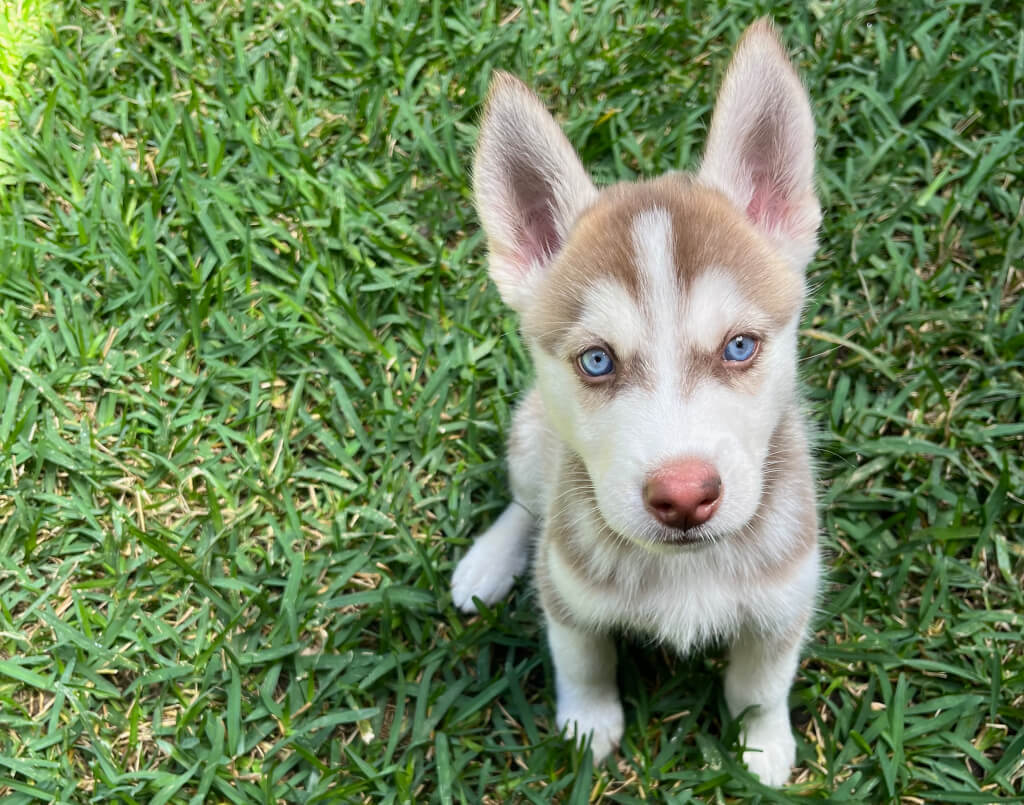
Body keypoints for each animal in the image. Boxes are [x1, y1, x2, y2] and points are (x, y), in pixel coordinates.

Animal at [452, 17, 819, 782]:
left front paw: (762, 745)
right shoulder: (569, 595)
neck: (687, 569)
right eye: (597, 360)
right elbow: (583, 662)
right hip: (531, 436)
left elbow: (761, 683)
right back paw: (488, 561)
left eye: (740, 346)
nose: (683, 495)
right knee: (527, 503)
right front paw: (588, 726)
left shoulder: (784, 600)